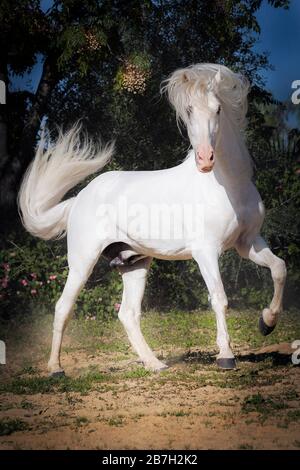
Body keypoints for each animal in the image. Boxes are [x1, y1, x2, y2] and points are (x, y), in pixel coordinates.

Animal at [18, 64, 286, 376]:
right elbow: (219, 299)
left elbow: (279, 269)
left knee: (128, 314)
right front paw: (226, 357)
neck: (230, 186)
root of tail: (78, 200)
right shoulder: (206, 252)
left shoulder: (248, 243)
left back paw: (155, 364)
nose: (205, 159)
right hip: (83, 261)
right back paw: (55, 369)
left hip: (133, 263)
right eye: (189, 110)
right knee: (63, 307)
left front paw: (267, 323)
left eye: (218, 109)